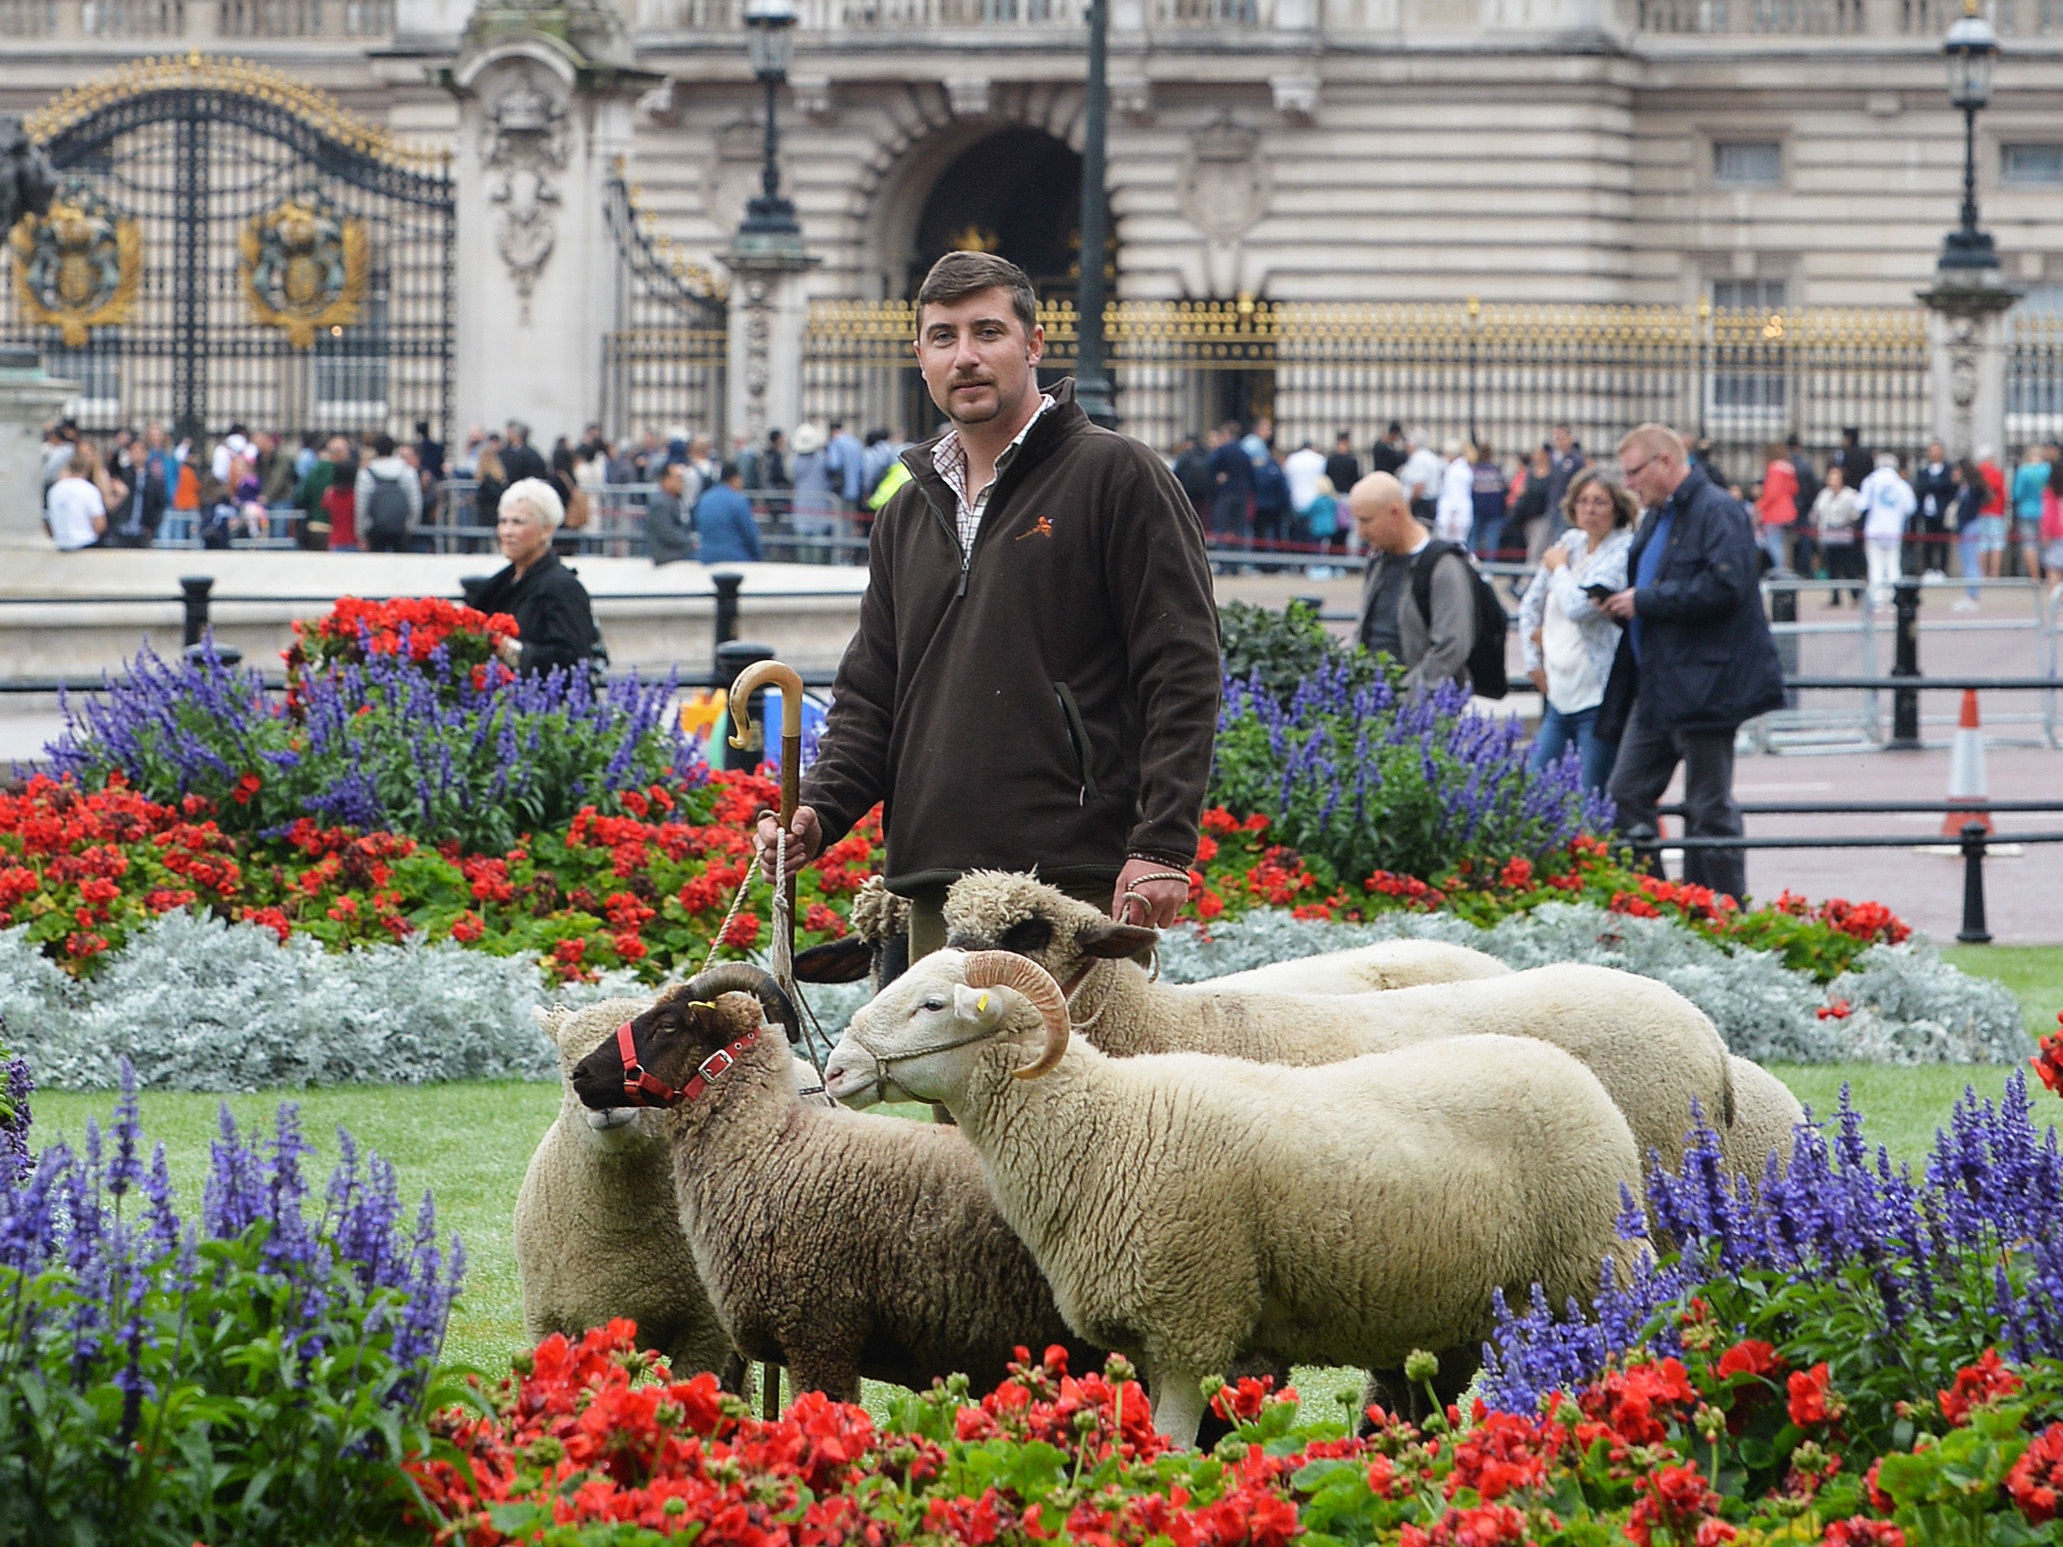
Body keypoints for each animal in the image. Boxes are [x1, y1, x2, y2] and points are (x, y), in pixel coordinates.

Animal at [823, 949, 1645, 1447]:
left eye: (933, 1004)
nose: (833, 1071)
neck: (1107, 1124)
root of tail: (1576, 1079)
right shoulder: (1146, 1337)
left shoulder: (1193, 1318)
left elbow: (1173, 1450)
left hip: (1590, 1273)